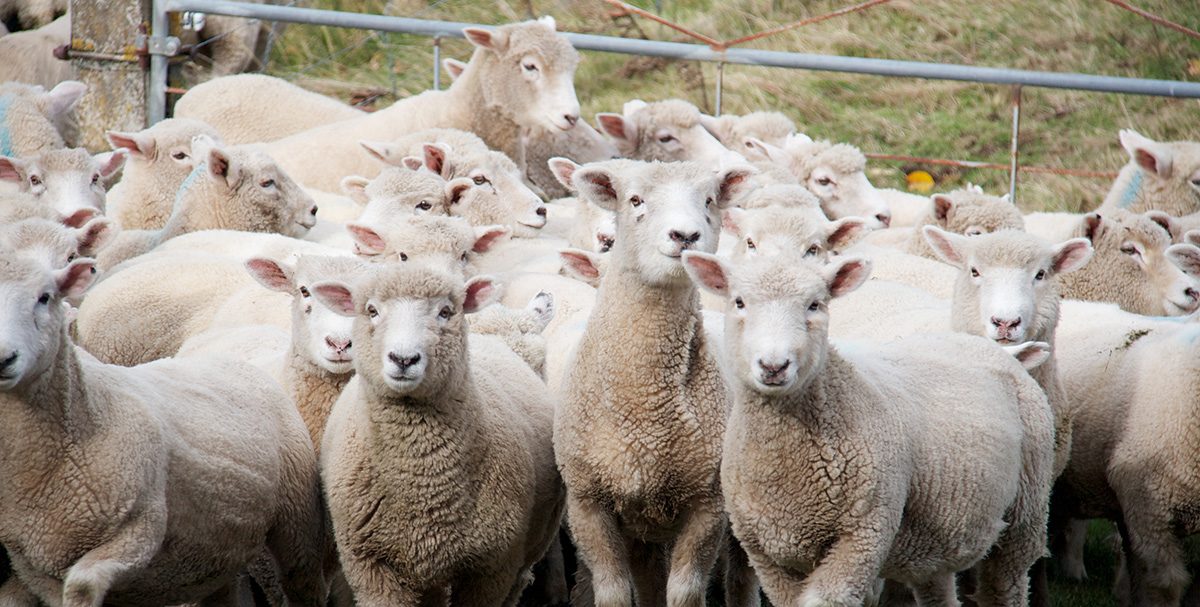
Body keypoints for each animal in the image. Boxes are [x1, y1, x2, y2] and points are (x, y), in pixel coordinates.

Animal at [0, 251, 327, 607]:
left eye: (44, 297)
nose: (4, 358)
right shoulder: (35, 569)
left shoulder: (141, 528)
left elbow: (83, 587)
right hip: (218, 552)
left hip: (295, 520)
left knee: (304, 582)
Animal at [554, 158, 753, 607]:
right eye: (635, 200)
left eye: (709, 200)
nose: (685, 236)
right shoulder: (588, 503)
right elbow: (613, 591)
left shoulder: (707, 504)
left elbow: (684, 592)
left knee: (742, 577)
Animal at [682, 250, 1055, 606]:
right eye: (739, 302)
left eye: (815, 304)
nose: (774, 366)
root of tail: (987, 348)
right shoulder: (768, 556)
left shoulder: (862, 536)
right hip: (935, 535)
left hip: (1025, 514)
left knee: (1005, 587)